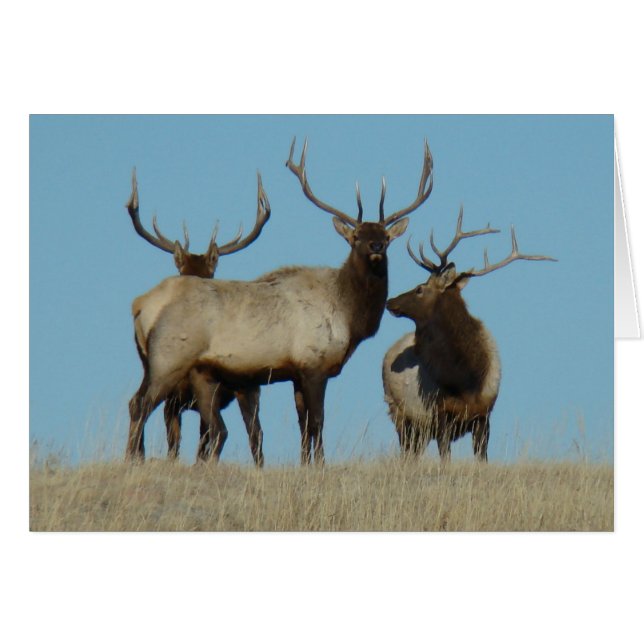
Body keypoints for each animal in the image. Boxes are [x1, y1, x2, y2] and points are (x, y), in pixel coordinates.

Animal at [382, 206, 555, 462]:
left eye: (419, 289)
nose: (390, 301)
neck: (466, 379)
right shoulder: (440, 413)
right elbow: (446, 458)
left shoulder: (484, 414)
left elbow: (481, 459)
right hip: (399, 413)